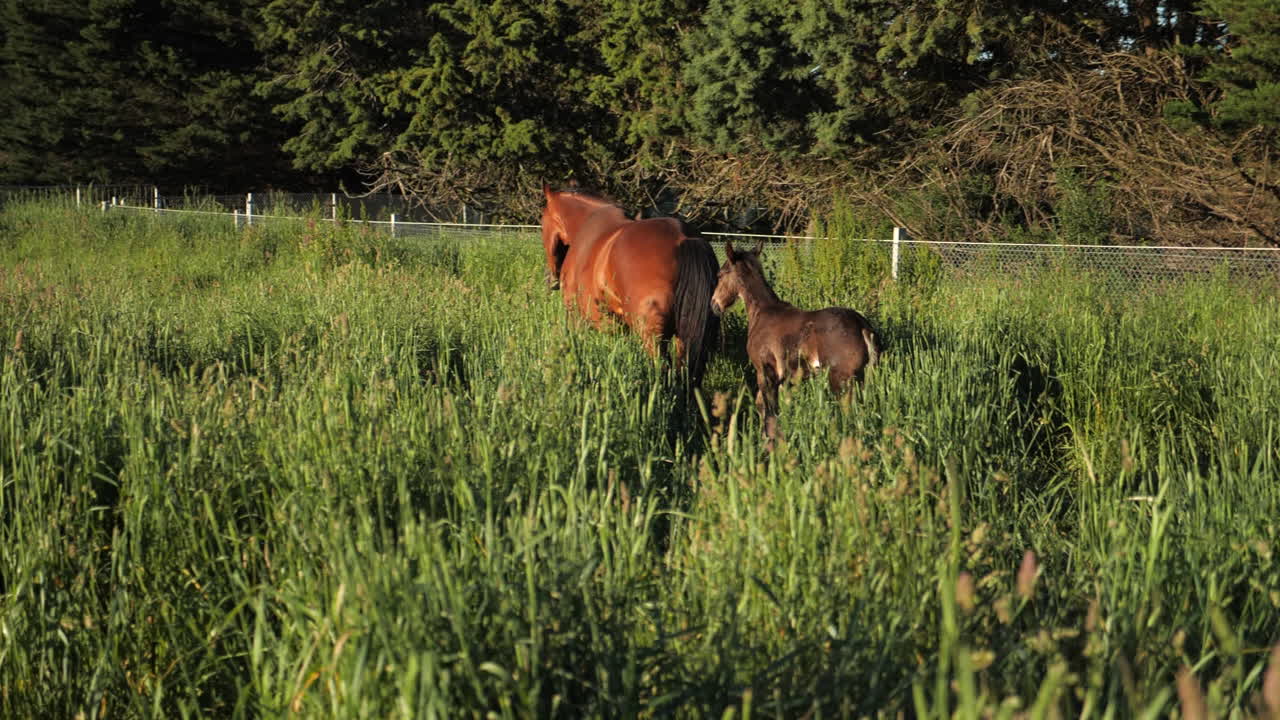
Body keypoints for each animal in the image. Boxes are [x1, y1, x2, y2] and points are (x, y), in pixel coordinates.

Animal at [540, 183, 720, 386]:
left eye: (543, 221)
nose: (551, 279)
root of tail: (683, 238)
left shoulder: (578, 318)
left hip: (653, 339)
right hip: (687, 339)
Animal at [711, 240, 879, 442]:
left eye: (720, 275)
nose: (714, 304)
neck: (762, 312)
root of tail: (862, 325)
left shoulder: (764, 371)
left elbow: (768, 409)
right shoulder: (786, 379)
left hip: (841, 381)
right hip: (863, 379)